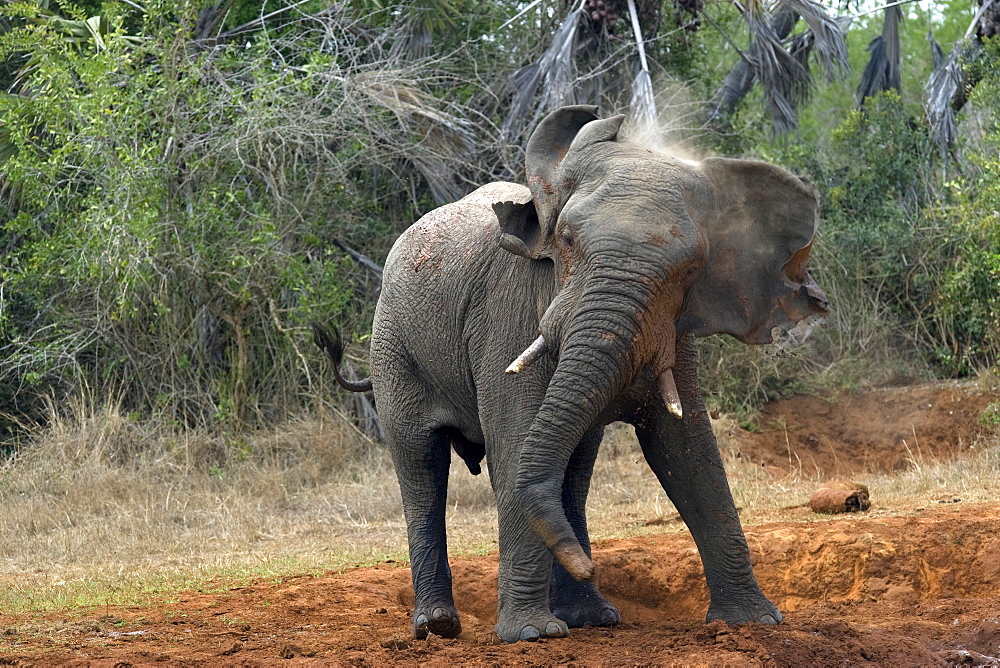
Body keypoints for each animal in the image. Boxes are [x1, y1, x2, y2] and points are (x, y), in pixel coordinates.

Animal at [314, 104, 828, 640]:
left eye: (690, 270)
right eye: (566, 240)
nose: (589, 565)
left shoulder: (675, 329)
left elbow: (686, 451)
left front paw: (754, 621)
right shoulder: (510, 312)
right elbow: (517, 441)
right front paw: (533, 635)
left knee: (571, 470)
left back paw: (589, 617)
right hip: (393, 350)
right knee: (421, 468)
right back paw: (438, 626)